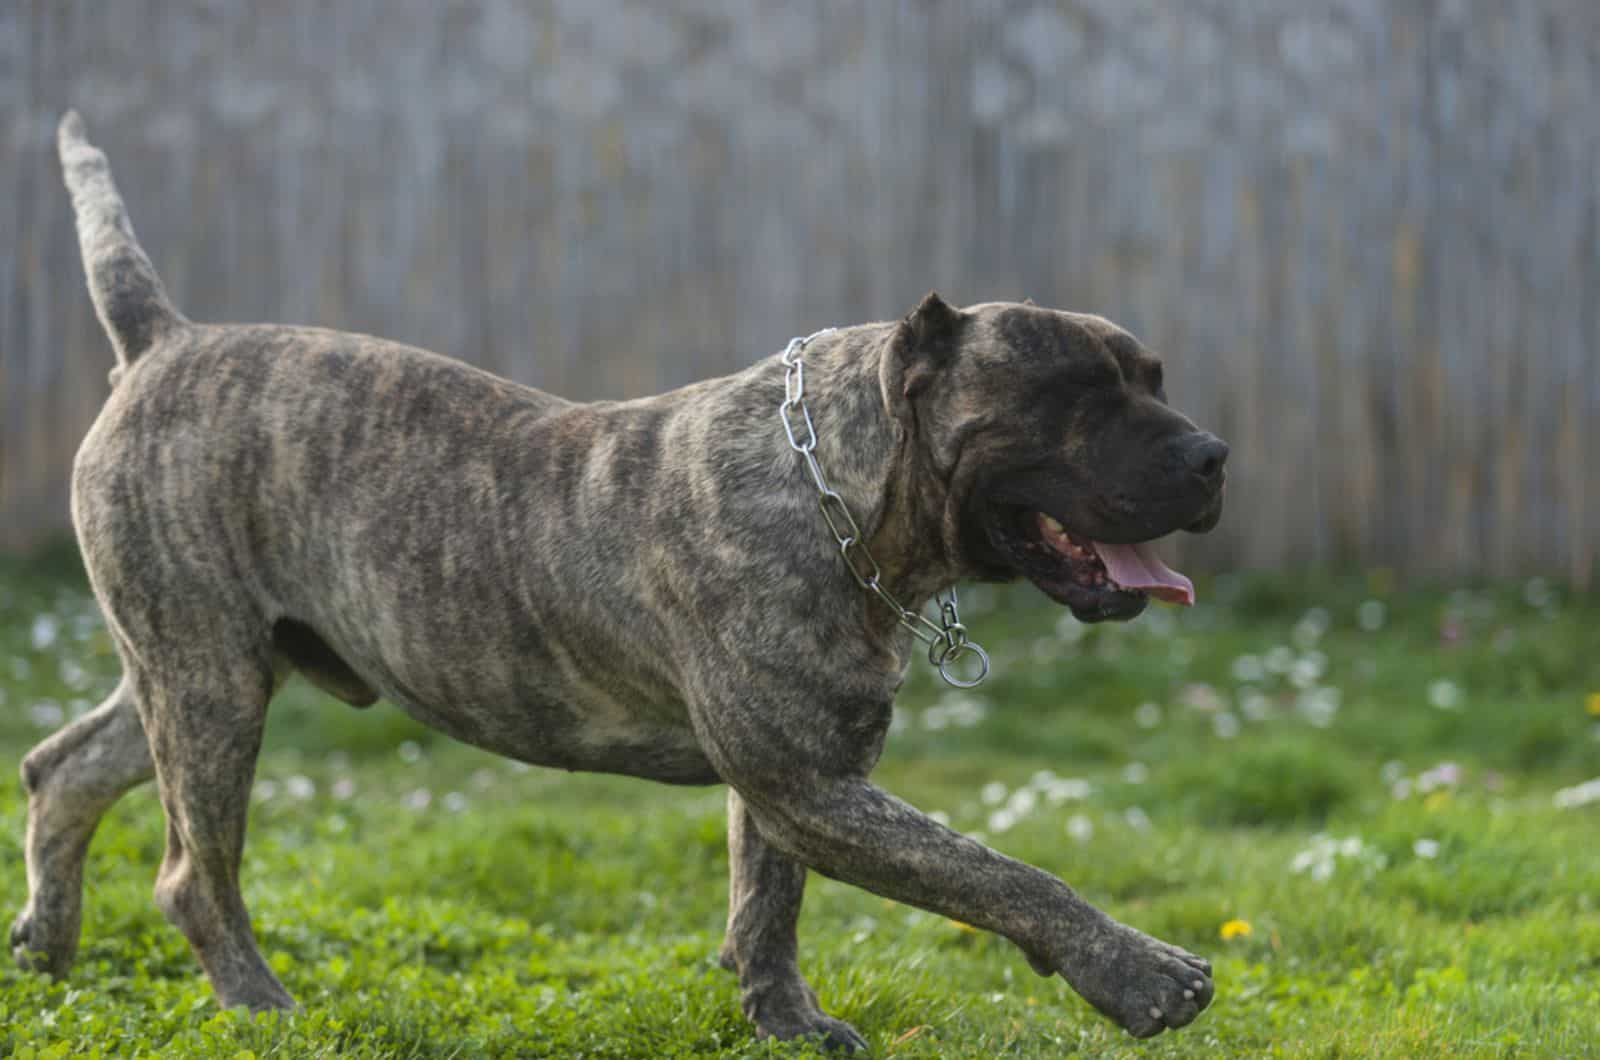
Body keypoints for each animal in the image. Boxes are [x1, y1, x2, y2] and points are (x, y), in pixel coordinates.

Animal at [15, 112, 1222, 1050]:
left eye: (1157, 379)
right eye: (1075, 394)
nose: (1212, 454)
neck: (832, 479)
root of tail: (165, 341)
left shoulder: (802, 779)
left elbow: (767, 905)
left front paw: (785, 1023)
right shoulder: (810, 784)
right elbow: (997, 871)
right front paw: (1139, 972)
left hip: (203, 667)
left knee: (64, 767)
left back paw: (46, 945)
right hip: (210, 682)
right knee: (192, 871)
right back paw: (262, 1006)